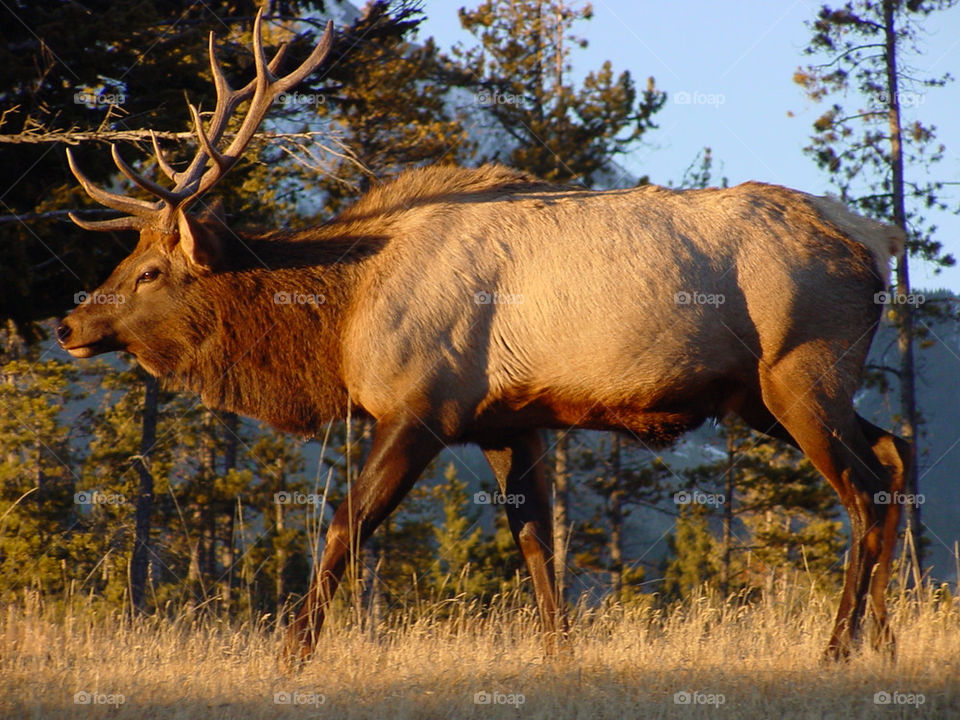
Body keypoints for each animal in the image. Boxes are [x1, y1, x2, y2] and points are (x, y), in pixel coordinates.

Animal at [56, 11, 912, 664]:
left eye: (150, 271)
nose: (69, 323)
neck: (341, 322)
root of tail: (875, 246)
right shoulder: (509, 420)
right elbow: (536, 543)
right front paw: (561, 654)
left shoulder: (421, 407)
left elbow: (345, 523)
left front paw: (293, 650)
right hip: (765, 395)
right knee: (898, 451)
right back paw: (883, 638)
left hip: (800, 371)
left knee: (866, 488)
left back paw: (839, 646)